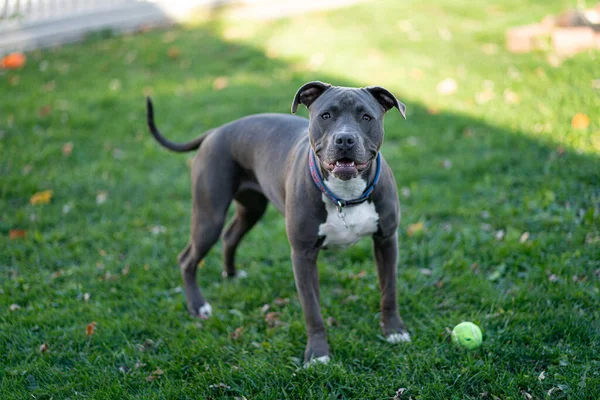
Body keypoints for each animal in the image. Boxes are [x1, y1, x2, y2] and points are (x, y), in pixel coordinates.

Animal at [144, 82, 412, 366]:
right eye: (326, 115)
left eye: (366, 117)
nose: (345, 139)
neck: (345, 195)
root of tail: (216, 131)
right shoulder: (303, 254)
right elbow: (312, 309)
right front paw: (318, 353)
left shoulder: (386, 240)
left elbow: (389, 291)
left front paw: (394, 331)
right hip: (209, 216)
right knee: (187, 258)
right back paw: (198, 305)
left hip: (251, 209)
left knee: (230, 236)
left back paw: (231, 274)